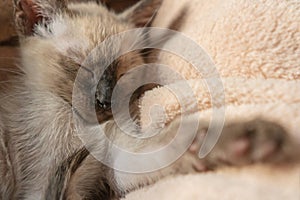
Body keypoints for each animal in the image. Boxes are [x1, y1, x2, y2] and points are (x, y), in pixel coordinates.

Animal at [0, 0, 298, 199]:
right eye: (81, 64)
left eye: (123, 72)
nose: (104, 101)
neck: (81, 127)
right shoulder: (39, 183)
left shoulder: (116, 160)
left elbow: (175, 142)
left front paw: (249, 139)